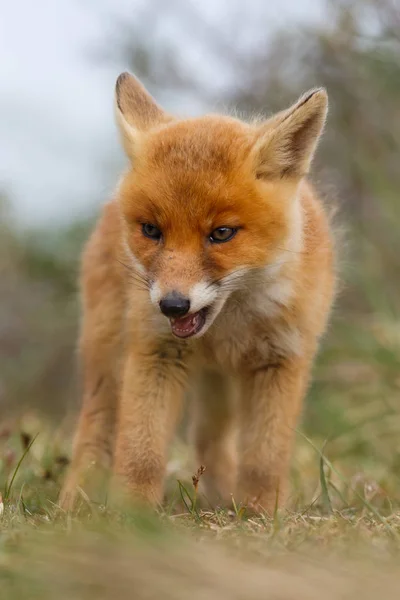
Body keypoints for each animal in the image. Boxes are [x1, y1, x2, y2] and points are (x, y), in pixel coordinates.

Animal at [58, 69, 334, 510]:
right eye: (151, 230)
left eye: (221, 233)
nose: (172, 305)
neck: (228, 326)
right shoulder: (155, 351)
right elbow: (140, 452)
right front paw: (131, 515)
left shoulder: (282, 359)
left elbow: (265, 459)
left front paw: (262, 514)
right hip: (107, 352)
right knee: (96, 427)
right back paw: (75, 503)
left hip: (217, 387)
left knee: (210, 438)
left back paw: (219, 499)